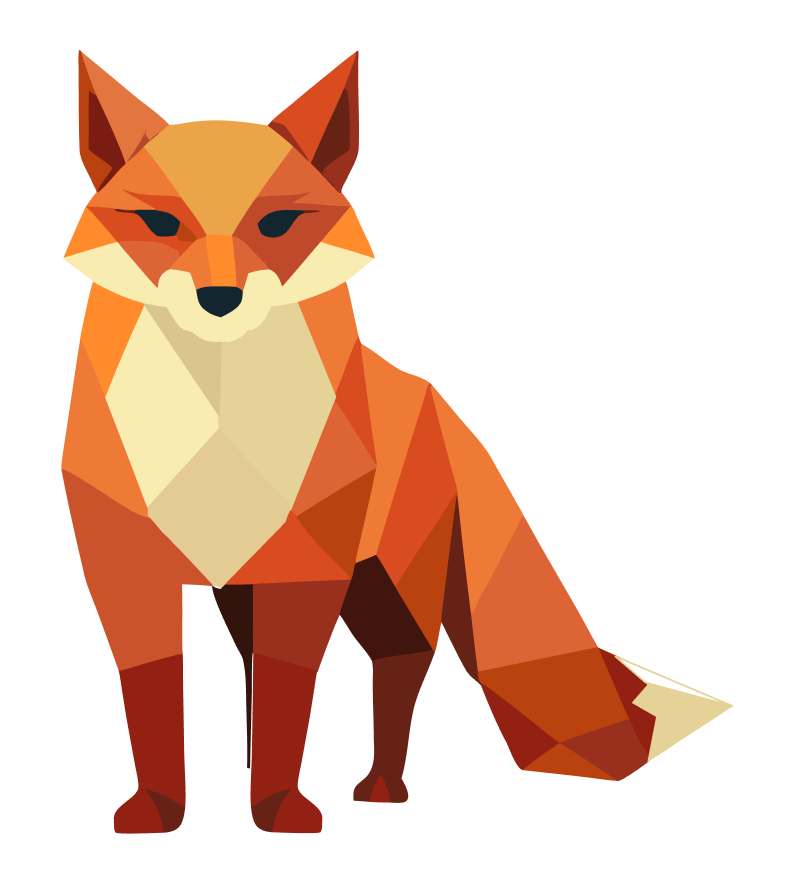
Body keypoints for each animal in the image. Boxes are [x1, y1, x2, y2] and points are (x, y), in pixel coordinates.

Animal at [63, 49, 733, 835]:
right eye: (159, 222)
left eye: (279, 221)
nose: (219, 300)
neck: (219, 430)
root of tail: (432, 395)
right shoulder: (126, 572)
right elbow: (156, 695)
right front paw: (159, 809)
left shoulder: (307, 573)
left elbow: (293, 691)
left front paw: (281, 808)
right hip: (251, 596)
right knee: (262, 671)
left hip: (391, 592)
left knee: (402, 668)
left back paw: (383, 786)